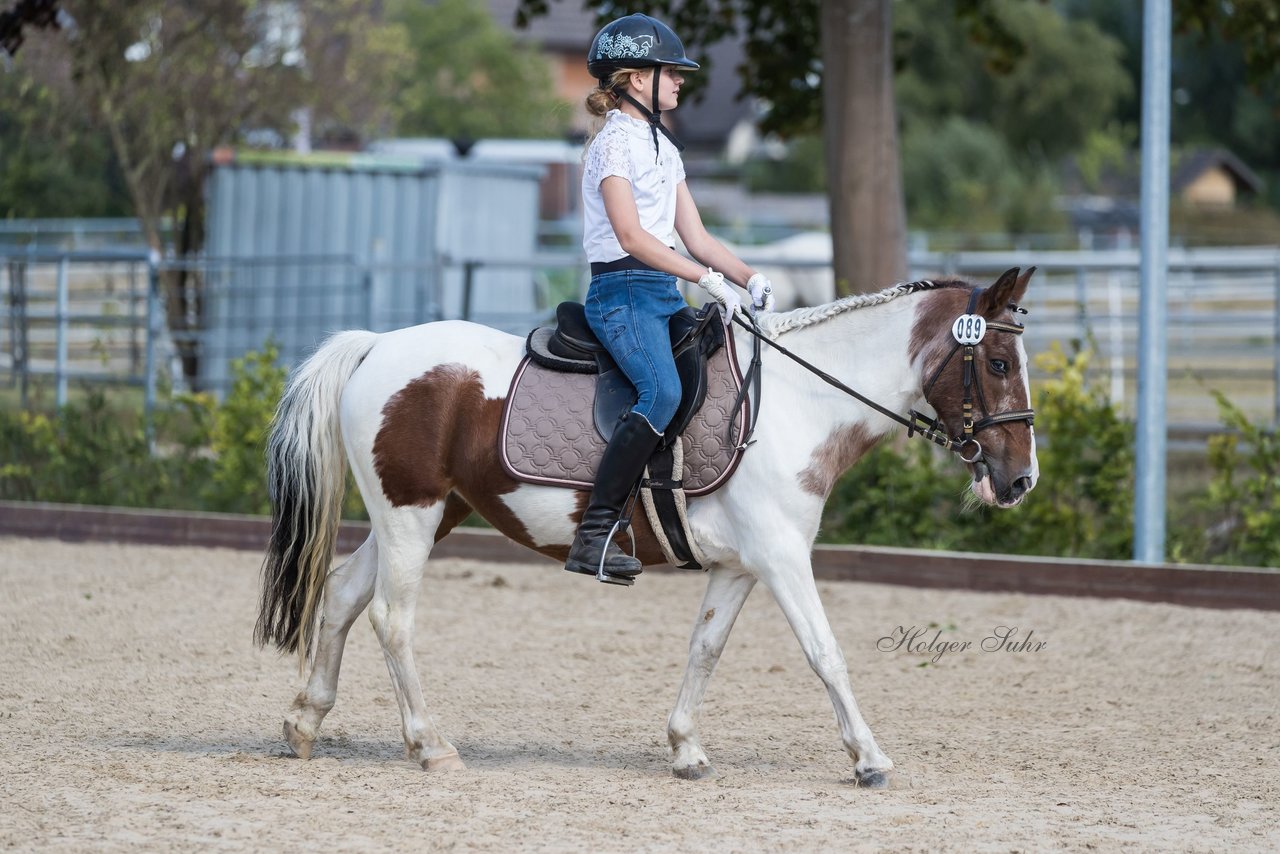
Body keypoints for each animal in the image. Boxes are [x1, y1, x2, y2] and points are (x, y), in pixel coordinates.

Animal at [254, 265, 1034, 788]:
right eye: (997, 362)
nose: (1019, 480)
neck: (798, 401)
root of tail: (377, 344)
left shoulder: (741, 565)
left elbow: (705, 650)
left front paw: (685, 747)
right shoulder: (783, 557)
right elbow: (826, 653)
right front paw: (869, 759)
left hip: (428, 514)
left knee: (342, 595)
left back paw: (304, 722)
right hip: (409, 515)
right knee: (391, 617)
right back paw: (428, 744)